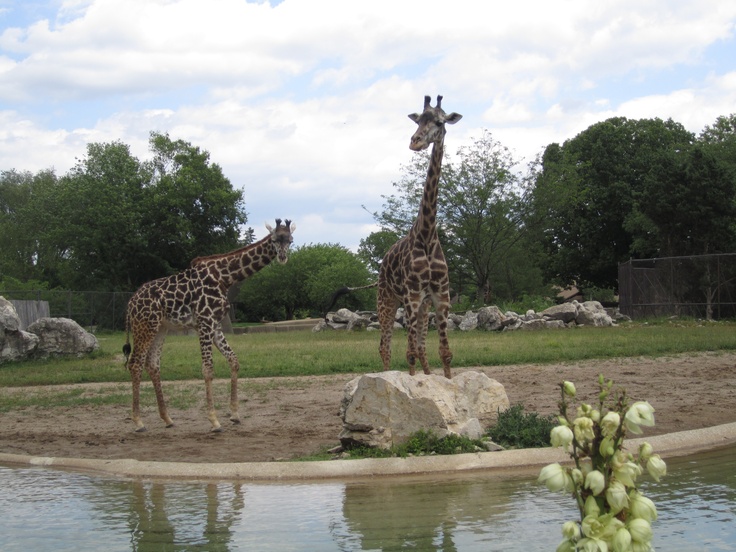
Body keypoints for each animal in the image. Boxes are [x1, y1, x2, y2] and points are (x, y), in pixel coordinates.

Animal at [122, 218, 294, 434]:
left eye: (290, 240)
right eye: (274, 239)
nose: (282, 257)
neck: (225, 278)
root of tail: (130, 303)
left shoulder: (216, 325)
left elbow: (233, 360)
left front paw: (234, 414)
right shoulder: (204, 322)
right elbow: (208, 369)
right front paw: (214, 421)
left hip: (161, 328)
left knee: (152, 364)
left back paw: (167, 419)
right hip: (145, 326)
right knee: (135, 363)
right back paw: (138, 422)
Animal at [380, 95, 460, 380]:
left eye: (439, 122)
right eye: (418, 121)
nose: (415, 141)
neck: (427, 234)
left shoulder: (440, 296)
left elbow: (445, 352)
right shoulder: (412, 296)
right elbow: (409, 354)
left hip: (422, 306)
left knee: (421, 347)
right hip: (387, 299)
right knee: (386, 347)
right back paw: (385, 376)